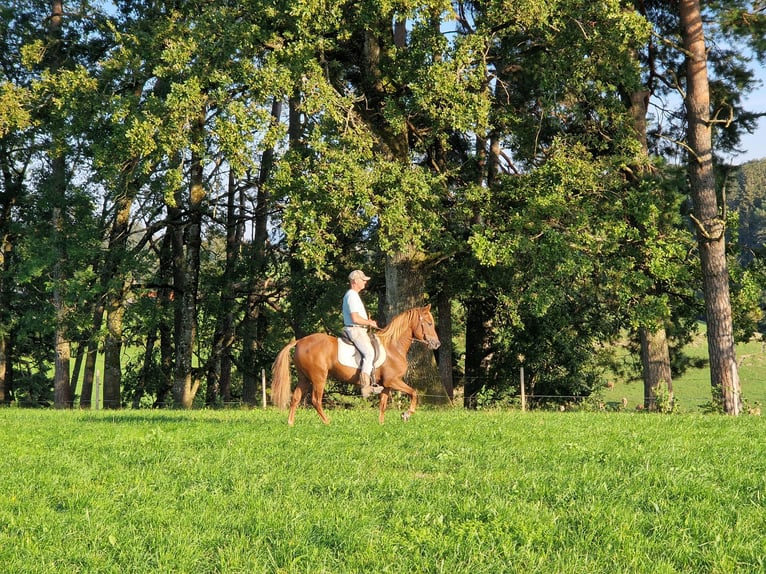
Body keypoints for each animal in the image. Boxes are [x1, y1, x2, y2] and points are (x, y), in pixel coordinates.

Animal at [272, 304, 440, 426]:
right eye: (429, 323)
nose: (437, 344)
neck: (393, 347)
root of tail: (300, 341)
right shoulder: (393, 381)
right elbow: (414, 393)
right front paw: (406, 414)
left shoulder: (387, 385)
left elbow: (383, 404)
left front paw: (381, 424)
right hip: (319, 378)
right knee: (315, 400)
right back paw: (328, 423)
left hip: (304, 378)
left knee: (295, 398)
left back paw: (290, 423)